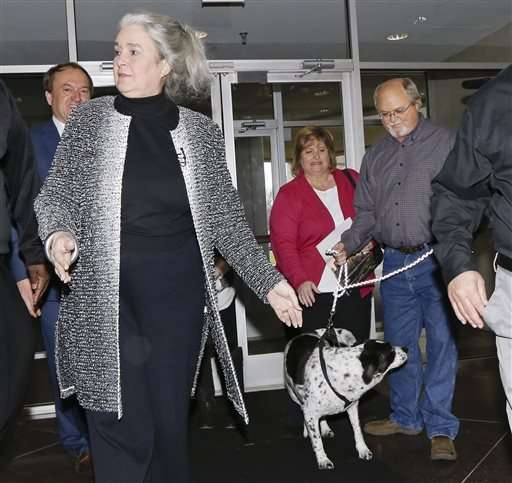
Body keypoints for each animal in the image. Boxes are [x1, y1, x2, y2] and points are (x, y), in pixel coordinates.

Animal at [284, 330, 408, 470]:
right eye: (391, 351)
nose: (406, 348)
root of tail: (304, 333)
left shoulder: (353, 407)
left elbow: (357, 430)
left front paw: (363, 449)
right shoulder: (310, 412)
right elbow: (317, 440)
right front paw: (322, 459)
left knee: (322, 416)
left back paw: (325, 428)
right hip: (293, 393)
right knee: (302, 407)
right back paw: (307, 429)